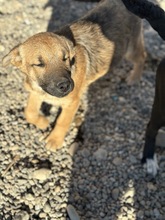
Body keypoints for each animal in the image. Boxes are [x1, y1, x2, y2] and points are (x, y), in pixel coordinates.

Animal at [2, 0, 146, 151]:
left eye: (65, 58)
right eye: (39, 64)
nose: (65, 86)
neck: (44, 91)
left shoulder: (72, 102)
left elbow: (62, 121)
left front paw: (54, 140)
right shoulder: (35, 92)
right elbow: (29, 112)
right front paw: (42, 122)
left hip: (130, 49)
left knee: (142, 56)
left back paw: (134, 78)